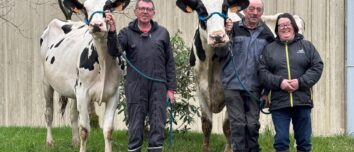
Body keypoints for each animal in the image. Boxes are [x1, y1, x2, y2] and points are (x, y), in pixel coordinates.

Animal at [40, 0, 129, 152]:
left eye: (108, 7)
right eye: (86, 10)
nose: (96, 25)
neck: (103, 62)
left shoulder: (114, 94)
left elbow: (108, 130)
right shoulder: (83, 92)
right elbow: (85, 130)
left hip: (74, 90)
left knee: (72, 115)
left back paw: (75, 141)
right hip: (47, 81)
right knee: (49, 112)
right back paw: (49, 142)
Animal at [176, 0, 306, 151]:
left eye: (225, 7)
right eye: (201, 9)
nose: (218, 36)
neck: (210, 64)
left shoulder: (230, 90)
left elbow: (228, 126)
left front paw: (230, 149)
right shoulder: (199, 88)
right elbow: (206, 125)